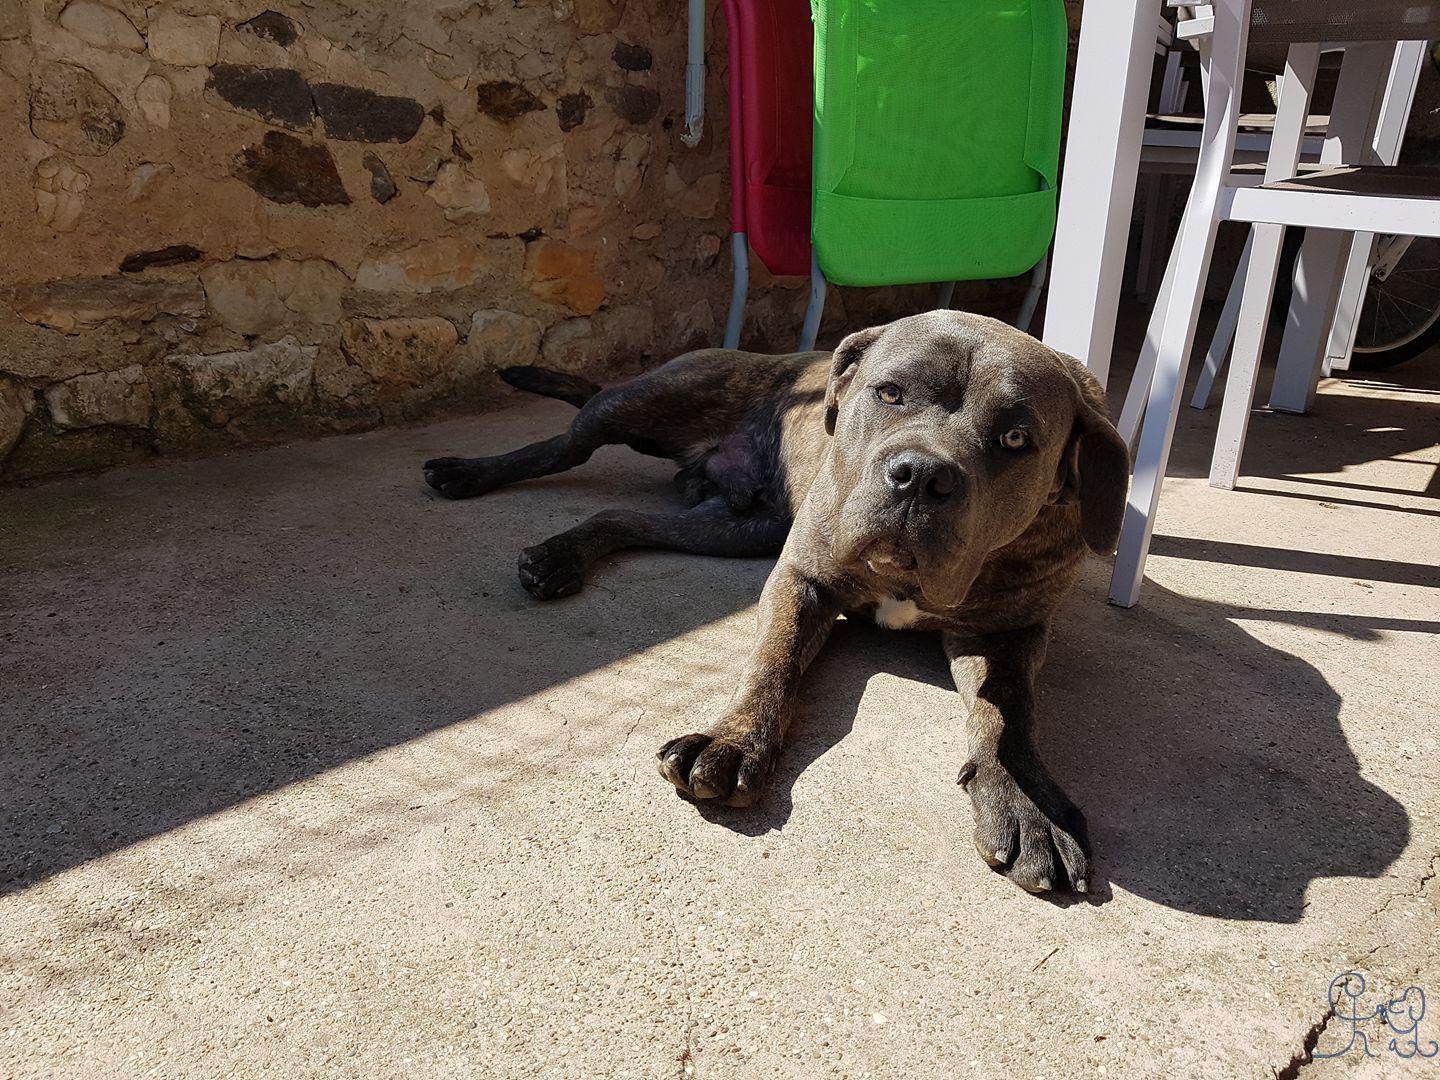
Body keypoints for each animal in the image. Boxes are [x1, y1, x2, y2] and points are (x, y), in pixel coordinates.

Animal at [420, 311, 1128, 898]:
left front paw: (1028, 804)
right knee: (564, 444)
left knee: (623, 517)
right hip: (639, 405)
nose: (921, 476)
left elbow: (1006, 716)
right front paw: (733, 743)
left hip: (734, 528)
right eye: (890, 393)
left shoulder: (1008, 631)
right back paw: (469, 473)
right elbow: (773, 663)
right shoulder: (802, 578)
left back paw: (564, 554)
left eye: (1016, 438)